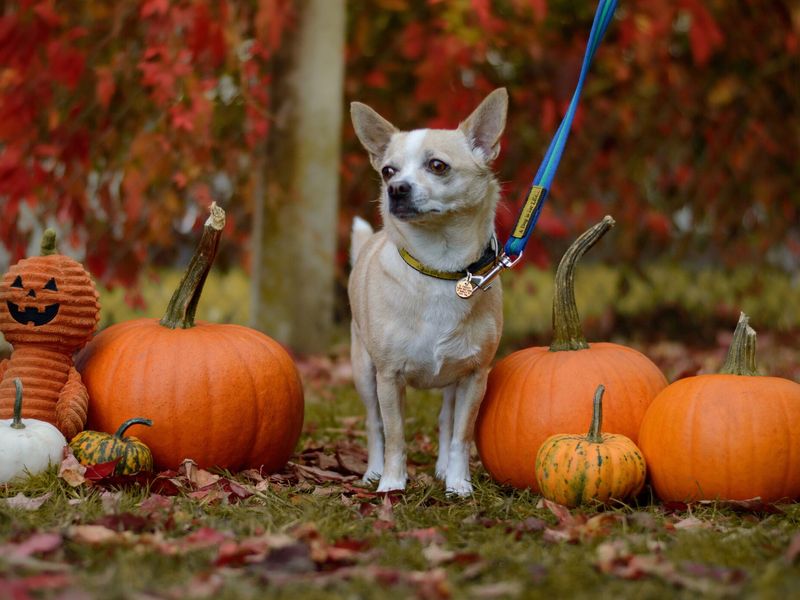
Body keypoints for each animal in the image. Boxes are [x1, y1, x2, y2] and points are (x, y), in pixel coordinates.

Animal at [348, 88, 506, 492]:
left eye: (437, 166)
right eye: (387, 171)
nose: (395, 189)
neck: (438, 267)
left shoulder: (475, 377)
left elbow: (461, 435)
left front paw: (459, 484)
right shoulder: (388, 378)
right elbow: (395, 434)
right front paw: (392, 484)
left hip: (452, 381)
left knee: (446, 422)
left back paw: (443, 470)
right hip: (364, 372)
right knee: (373, 425)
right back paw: (373, 472)